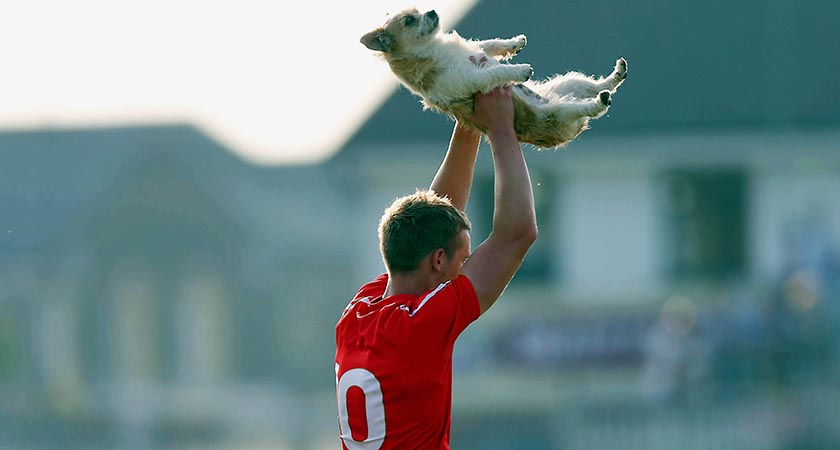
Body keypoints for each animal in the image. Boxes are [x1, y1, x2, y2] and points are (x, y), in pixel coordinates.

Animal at [362, 7, 632, 148]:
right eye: (409, 20)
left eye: (417, 12)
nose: (432, 10)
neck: (434, 48)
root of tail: (576, 128)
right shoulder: (468, 80)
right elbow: (494, 71)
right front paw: (518, 70)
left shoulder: (476, 49)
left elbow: (490, 45)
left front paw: (514, 43)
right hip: (561, 112)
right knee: (591, 108)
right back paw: (600, 101)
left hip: (571, 82)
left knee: (596, 85)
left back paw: (615, 76)